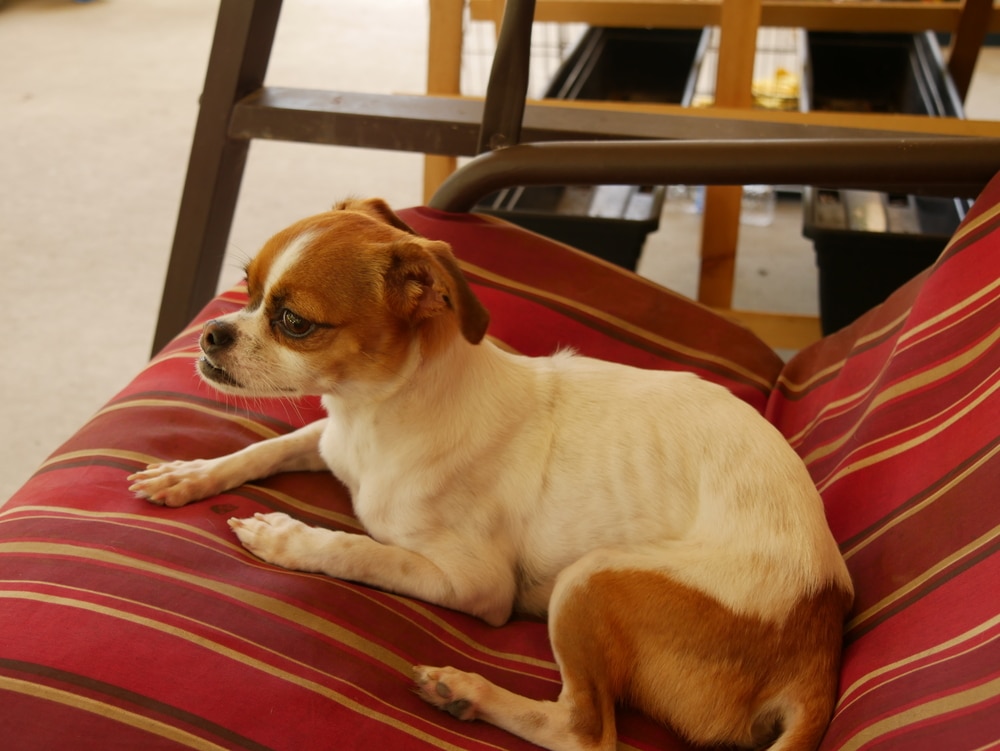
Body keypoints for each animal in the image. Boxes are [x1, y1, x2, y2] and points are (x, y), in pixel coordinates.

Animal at [129, 198, 856, 751]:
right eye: (246, 287)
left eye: (293, 322)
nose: (211, 334)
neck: (373, 417)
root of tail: (822, 626)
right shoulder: (328, 440)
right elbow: (267, 448)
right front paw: (190, 473)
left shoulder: (475, 585)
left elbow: (361, 550)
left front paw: (287, 538)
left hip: (590, 579)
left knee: (586, 732)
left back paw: (469, 691)